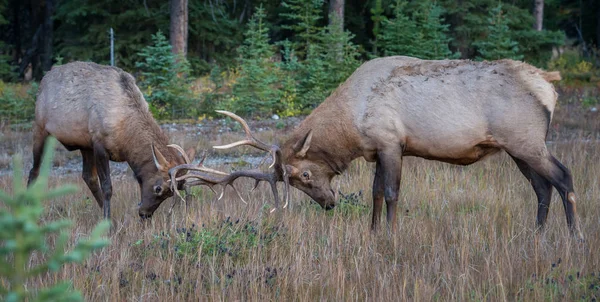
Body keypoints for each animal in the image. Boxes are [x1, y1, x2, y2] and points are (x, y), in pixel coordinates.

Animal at [28, 60, 195, 219]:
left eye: (170, 194)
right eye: (158, 188)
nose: (145, 214)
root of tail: (44, 78)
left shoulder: (92, 144)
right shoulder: (99, 145)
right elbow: (107, 187)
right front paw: (107, 222)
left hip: (84, 145)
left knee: (88, 177)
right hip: (40, 128)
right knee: (34, 171)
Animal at [171, 56, 584, 241]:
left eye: (304, 173)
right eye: (297, 182)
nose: (328, 203)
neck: (352, 123)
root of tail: (549, 85)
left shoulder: (390, 142)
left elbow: (390, 192)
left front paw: (391, 234)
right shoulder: (375, 151)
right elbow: (372, 192)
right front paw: (372, 233)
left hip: (526, 140)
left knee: (563, 176)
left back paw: (575, 236)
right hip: (516, 147)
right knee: (542, 187)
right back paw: (537, 234)